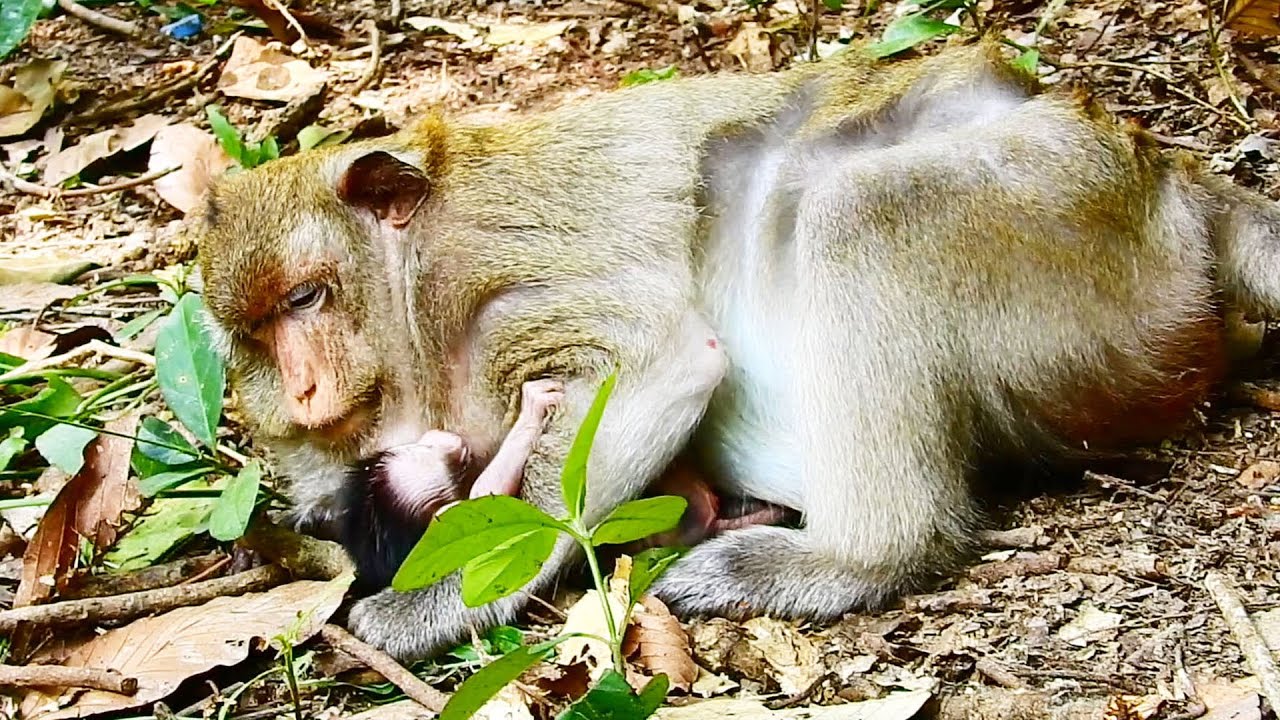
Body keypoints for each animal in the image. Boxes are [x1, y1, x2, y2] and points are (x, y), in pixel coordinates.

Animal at [194, 38, 1280, 661]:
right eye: (253, 332)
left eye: (305, 296)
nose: (301, 386)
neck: (410, 292)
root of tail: (1168, 176)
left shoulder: (492, 286)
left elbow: (652, 362)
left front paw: (432, 602)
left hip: (1071, 212)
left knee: (860, 210)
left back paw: (859, 555)